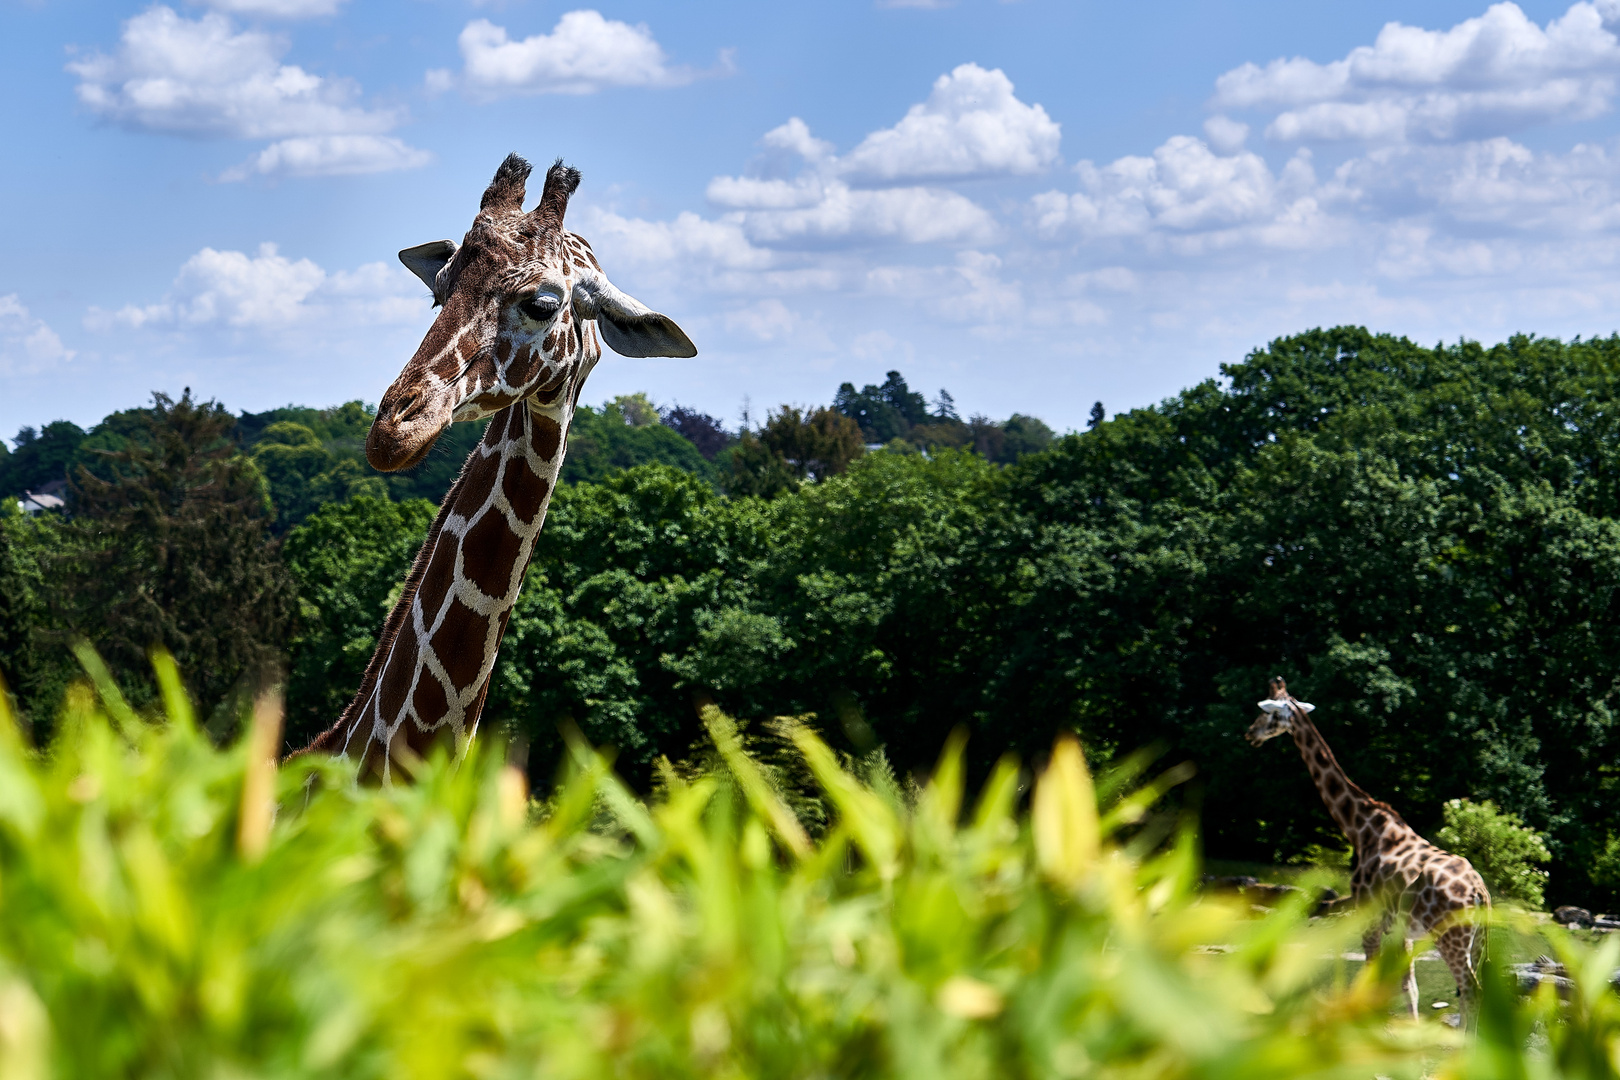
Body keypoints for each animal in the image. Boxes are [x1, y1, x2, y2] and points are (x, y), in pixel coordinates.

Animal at [1237, 676, 1490, 1023]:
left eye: (1269, 712)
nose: (1250, 733)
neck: (1360, 827)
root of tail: (1479, 892)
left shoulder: (1367, 917)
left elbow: (1371, 984)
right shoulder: (1398, 928)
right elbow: (1407, 986)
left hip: (1451, 936)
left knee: (1471, 991)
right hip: (1478, 939)